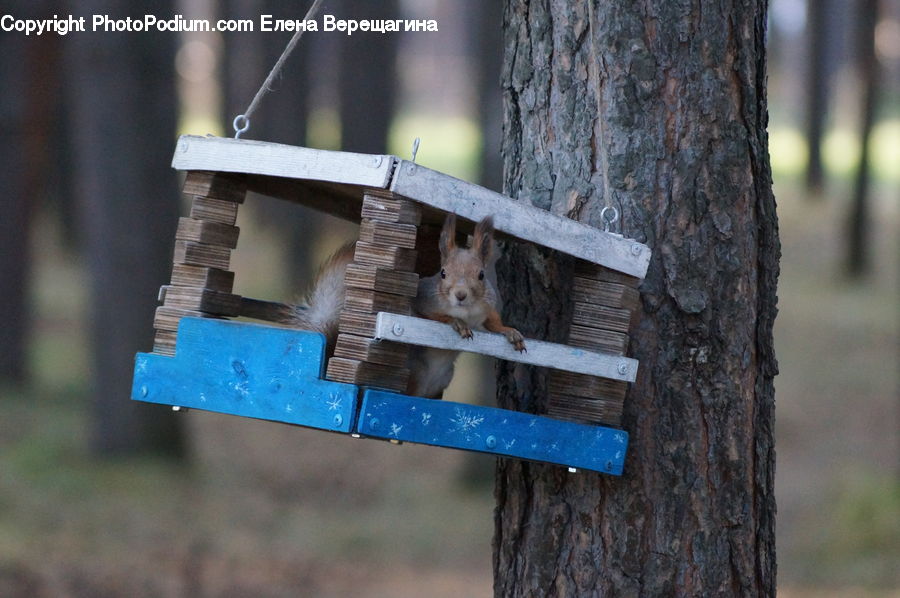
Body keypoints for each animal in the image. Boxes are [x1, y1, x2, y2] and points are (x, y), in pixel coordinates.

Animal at [283, 214, 525, 399]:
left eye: (481, 275)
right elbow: (428, 317)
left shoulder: (487, 305)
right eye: (443, 273)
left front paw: (511, 332)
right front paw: (456, 322)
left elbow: (493, 322)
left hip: (444, 380)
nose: (460, 295)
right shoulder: (424, 300)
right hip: (414, 373)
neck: (466, 309)